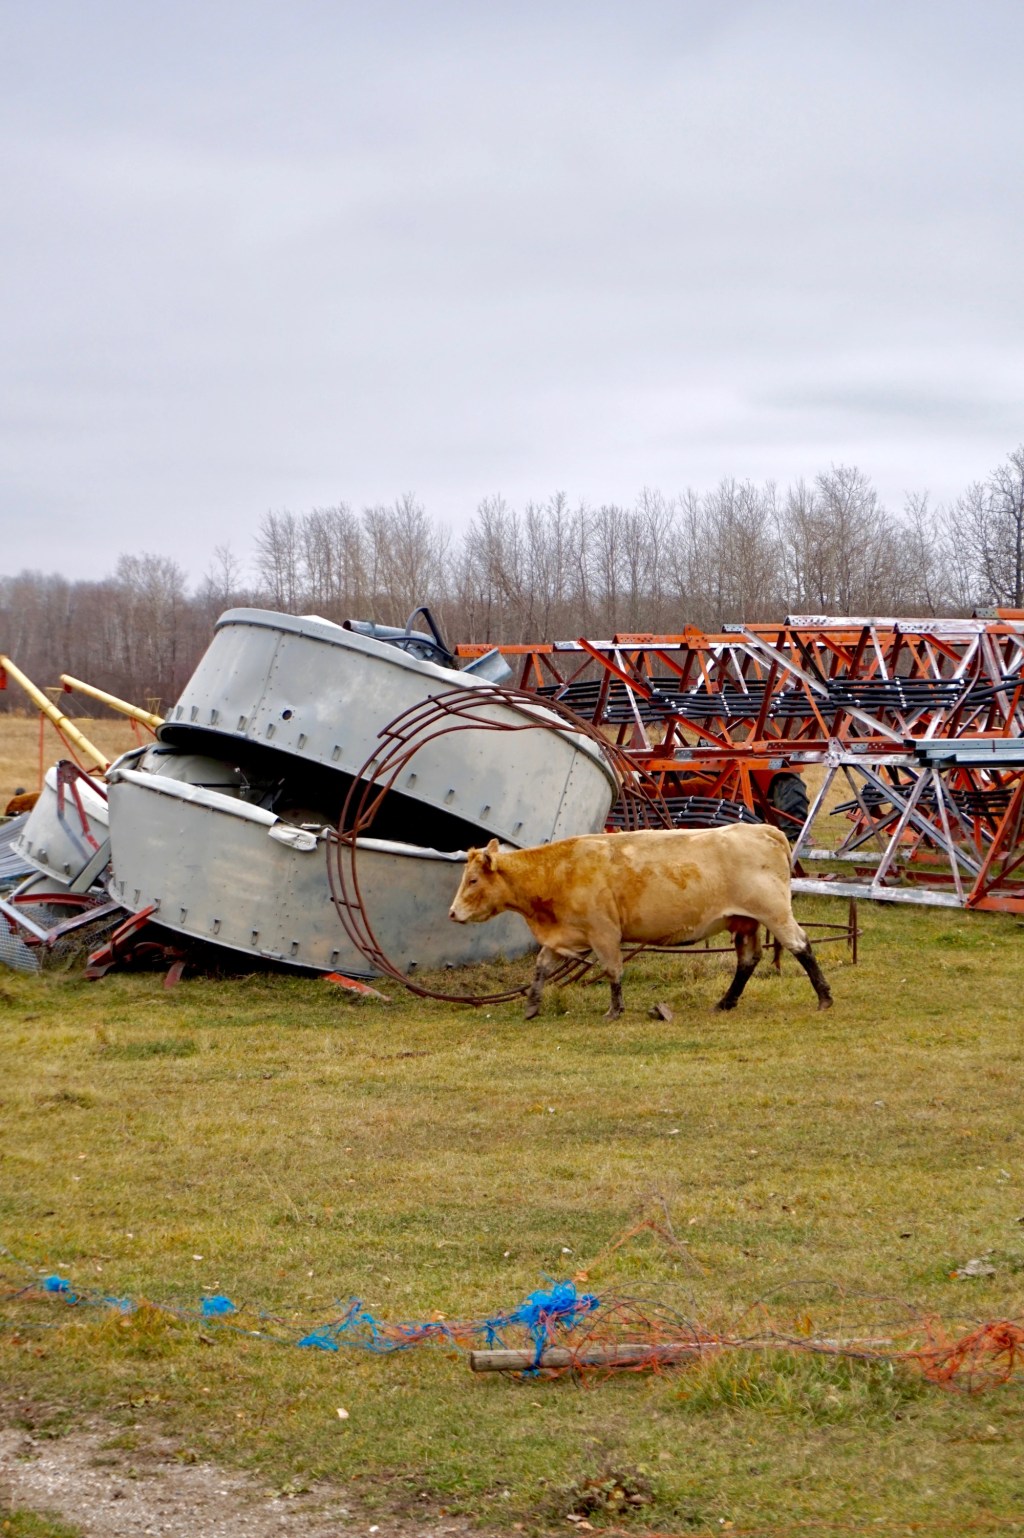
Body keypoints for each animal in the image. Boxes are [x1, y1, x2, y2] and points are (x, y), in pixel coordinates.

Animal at [449, 823, 832, 1020]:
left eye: (473, 880)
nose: (452, 913)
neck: (559, 870)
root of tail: (763, 830)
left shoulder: (604, 933)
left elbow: (613, 969)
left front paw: (614, 1010)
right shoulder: (566, 935)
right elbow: (542, 966)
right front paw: (531, 1006)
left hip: (775, 913)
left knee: (801, 946)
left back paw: (824, 998)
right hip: (744, 922)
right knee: (748, 960)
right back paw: (726, 1002)